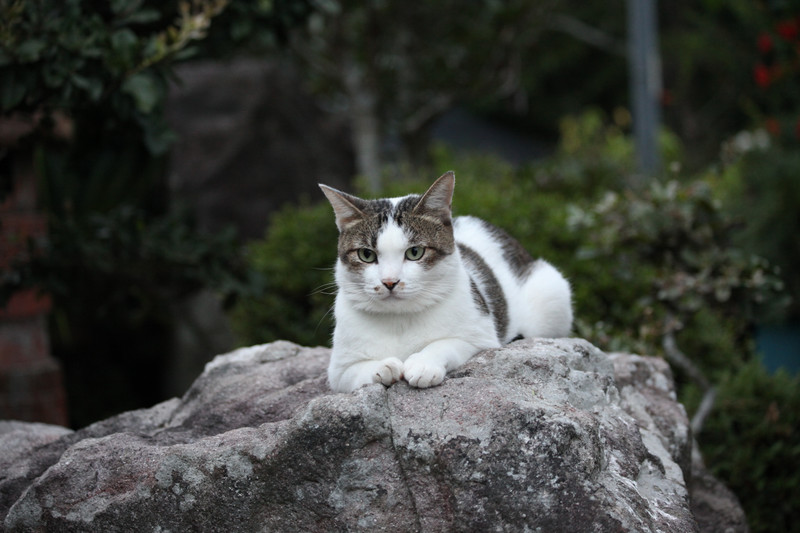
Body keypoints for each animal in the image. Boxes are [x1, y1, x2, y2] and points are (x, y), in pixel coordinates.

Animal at [318, 172, 576, 392]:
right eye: (366, 255)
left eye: (414, 252)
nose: (390, 282)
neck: (400, 320)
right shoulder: (338, 371)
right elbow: (355, 372)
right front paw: (383, 367)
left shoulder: (481, 336)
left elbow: (446, 343)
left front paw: (423, 363)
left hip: (551, 294)